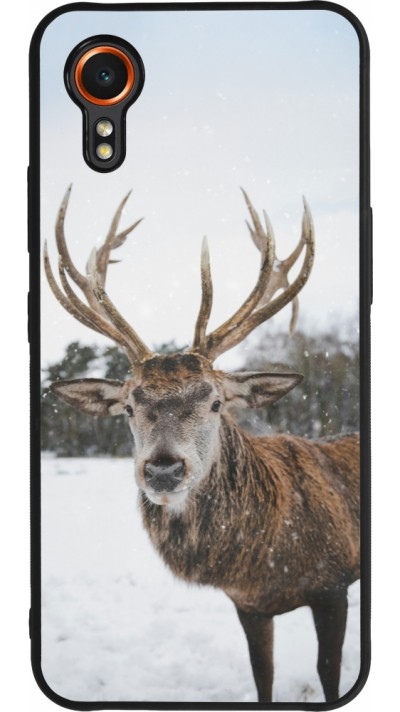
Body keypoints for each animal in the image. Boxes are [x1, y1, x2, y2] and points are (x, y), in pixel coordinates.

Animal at [44, 186, 360, 703]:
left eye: (215, 402)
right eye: (128, 407)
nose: (163, 469)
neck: (265, 561)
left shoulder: (333, 584)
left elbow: (328, 674)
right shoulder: (248, 605)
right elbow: (263, 676)